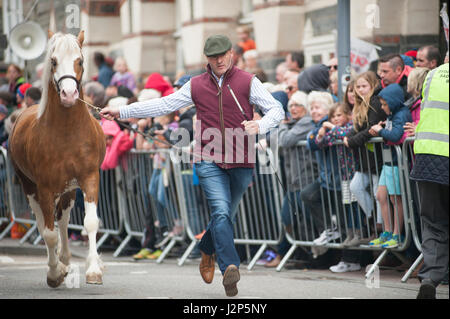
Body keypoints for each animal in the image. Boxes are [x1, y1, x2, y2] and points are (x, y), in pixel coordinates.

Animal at [9, 31, 106, 288]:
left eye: (80, 61)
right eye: (53, 61)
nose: (69, 95)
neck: (67, 132)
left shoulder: (89, 178)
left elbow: (90, 222)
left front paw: (94, 270)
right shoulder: (44, 187)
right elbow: (49, 233)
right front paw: (54, 273)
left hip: (68, 189)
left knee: (62, 220)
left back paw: (65, 258)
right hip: (30, 187)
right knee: (44, 223)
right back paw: (58, 265)